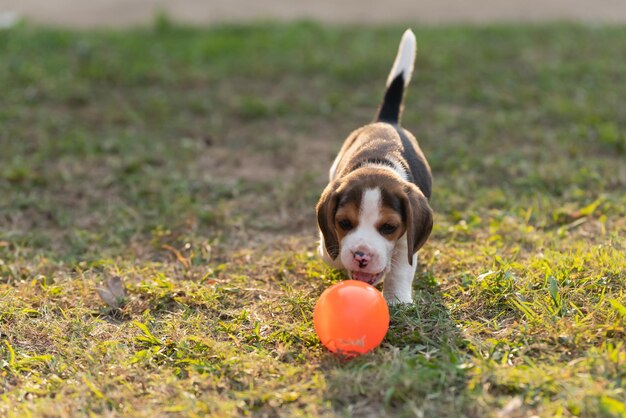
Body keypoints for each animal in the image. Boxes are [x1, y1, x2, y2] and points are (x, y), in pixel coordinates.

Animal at [314, 29, 432, 304]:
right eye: (344, 223)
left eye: (389, 227)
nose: (361, 256)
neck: (380, 165)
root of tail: (386, 121)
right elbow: (330, 250)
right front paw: (334, 252)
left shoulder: (407, 237)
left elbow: (401, 266)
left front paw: (397, 300)